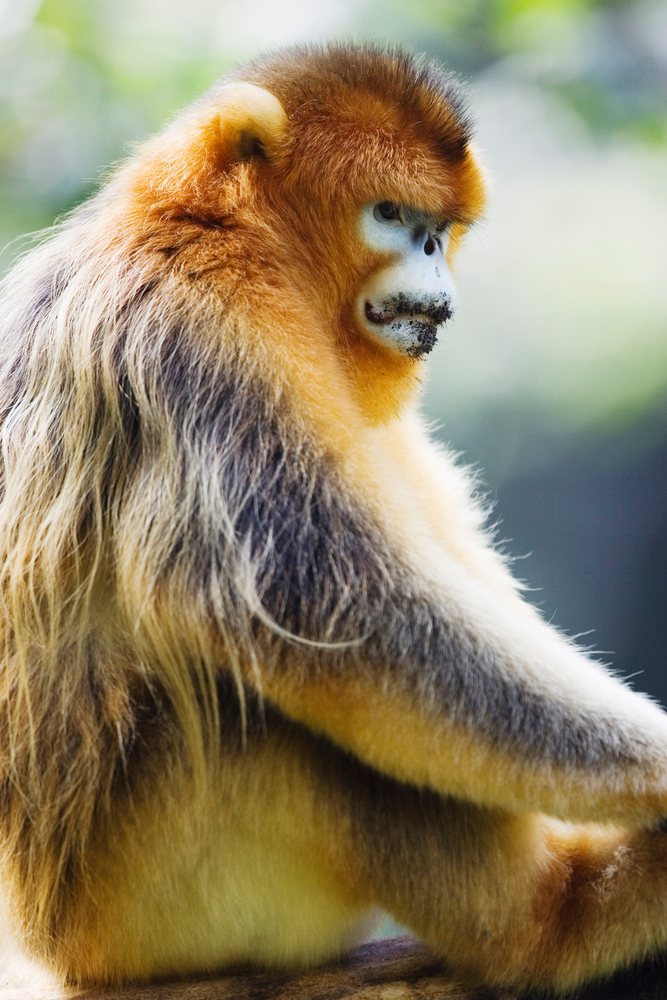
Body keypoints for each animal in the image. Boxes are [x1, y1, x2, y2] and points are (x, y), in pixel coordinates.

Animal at [1, 41, 667, 994]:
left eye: (437, 228)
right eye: (390, 215)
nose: (431, 263)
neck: (216, 229)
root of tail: (51, 949)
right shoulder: (202, 326)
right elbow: (325, 605)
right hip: (138, 901)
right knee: (285, 707)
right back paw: (557, 923)